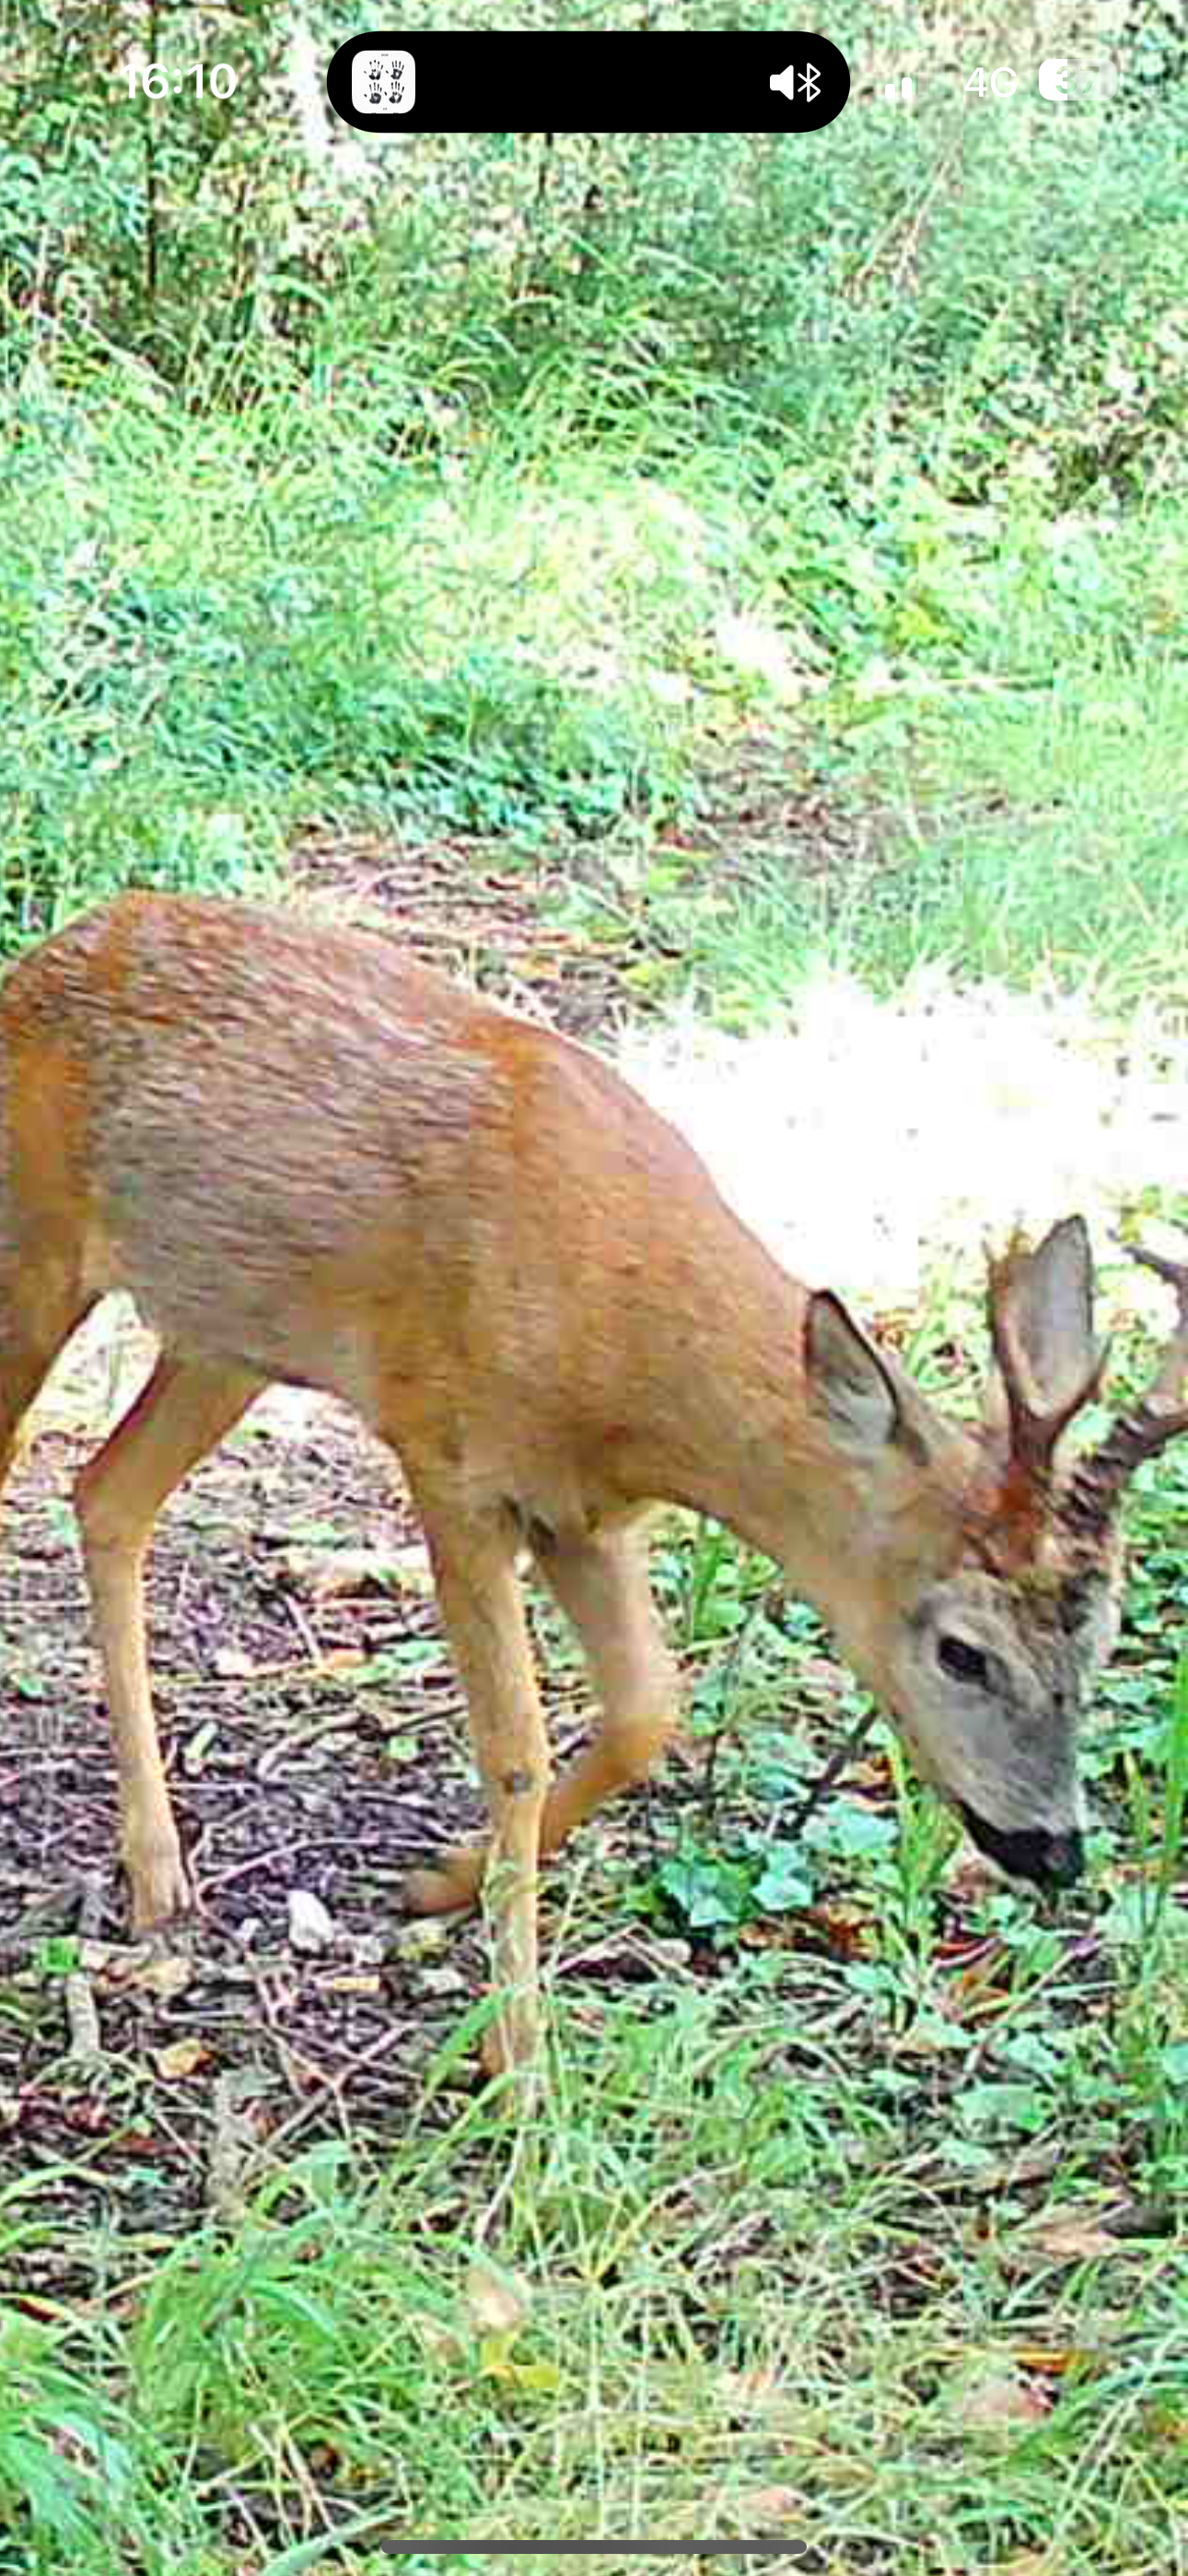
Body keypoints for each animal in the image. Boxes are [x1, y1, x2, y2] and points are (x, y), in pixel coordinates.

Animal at [1, 892, 1185, 2076]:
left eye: (1101, 1637)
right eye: (961, 1652)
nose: (1054, 1850)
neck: (624, 1356)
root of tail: (52, 953)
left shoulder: (583, 1511)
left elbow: (647, 1711)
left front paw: (442, 1884)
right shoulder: (450, 1457)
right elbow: (515, 1751)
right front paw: (518, 2060)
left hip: (224, 1335)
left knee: (106, 1495)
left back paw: (158, 1869)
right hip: (37, 1248)